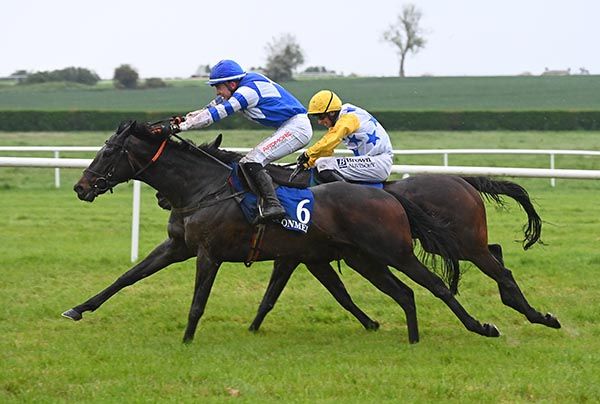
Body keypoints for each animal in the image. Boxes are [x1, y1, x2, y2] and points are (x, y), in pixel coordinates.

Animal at [65, 120, 500, 344]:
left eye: (108, 152)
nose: (80, 187)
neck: (203, 188)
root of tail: (389, 197)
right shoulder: (178, 246)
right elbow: (127, 277)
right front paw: (78, 308)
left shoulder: (211, 253)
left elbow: (198, 301)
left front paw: (187, 339)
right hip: (365, 259)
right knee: (406, 293)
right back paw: (413, 337)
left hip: (395, 251)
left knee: (439, 285)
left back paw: (482, 326)